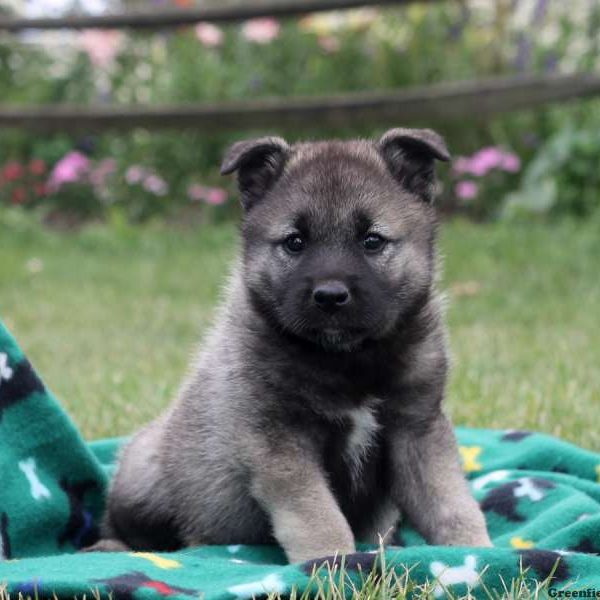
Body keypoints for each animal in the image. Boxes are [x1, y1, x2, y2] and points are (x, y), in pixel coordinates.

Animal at [92, 127, 488, 564]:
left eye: (372, 240)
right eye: (295, 242)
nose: (330, 295)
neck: (347, 360)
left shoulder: (418, 431)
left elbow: (450, 502)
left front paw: (475, 551)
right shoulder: (280, 443)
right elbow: (316, 514)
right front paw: (333, 563)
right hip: (142, 472)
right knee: (122, 525)